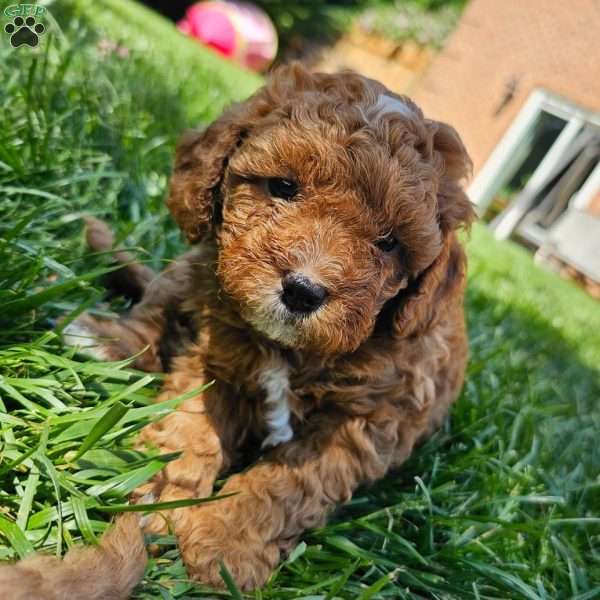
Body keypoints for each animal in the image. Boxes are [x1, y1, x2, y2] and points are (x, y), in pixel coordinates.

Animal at [3, 63, 474, 596]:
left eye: (390, 243)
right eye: (284, 186)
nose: (303, 291)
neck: (291, 351)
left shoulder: (364, 422)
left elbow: (286, 486)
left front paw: (220, 546)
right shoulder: (217, 359)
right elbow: (189, 423)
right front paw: (161, 496)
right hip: (194, 266)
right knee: (151, 319)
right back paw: (101, 339)